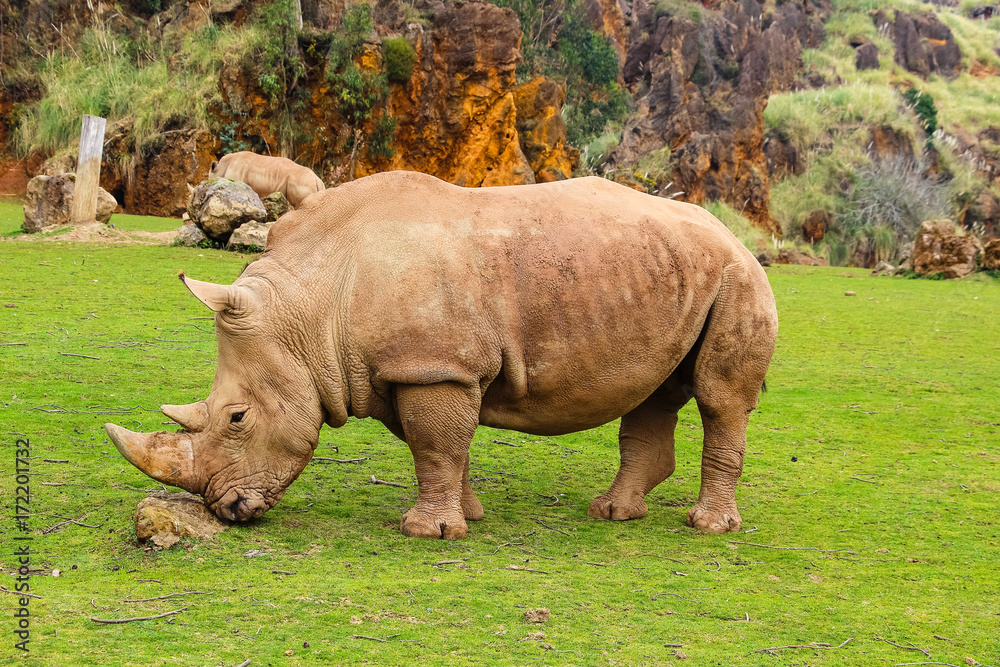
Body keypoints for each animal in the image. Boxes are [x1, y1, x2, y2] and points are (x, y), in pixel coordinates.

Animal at [105, 171, 778, 539]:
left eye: (238, 418)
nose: (226, 510)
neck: (312, 305)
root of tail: (731, 233)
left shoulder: (434, 367)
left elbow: (434, 444)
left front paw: (426, 532)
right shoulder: (415, 367)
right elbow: (442, 447)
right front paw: (469, 516)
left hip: (738, 276)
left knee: (720, 398)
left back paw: (707, 527)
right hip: (675, 272)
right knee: (654, 392)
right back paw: (614, 514)